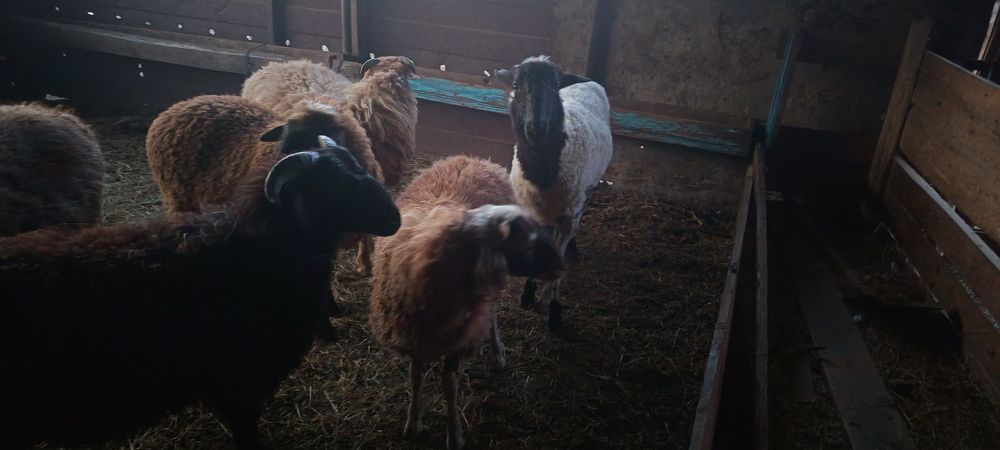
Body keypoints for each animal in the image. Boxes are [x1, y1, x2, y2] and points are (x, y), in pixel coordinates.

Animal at [369, 155, 563, 450]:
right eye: (527, 244)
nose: (561, 267)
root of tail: (470, 157)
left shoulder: (459, 337)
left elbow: (449, 385)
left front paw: (454, 433)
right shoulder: (414, 335)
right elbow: (415, 378)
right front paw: (414, 421)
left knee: (491, 317)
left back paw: (497, 352)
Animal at [493, 55, 614, 330]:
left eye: (554, 86)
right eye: (515, 86)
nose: (536, 128)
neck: (543, 174)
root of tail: (585, 80)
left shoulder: (569, 217)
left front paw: (554, 311)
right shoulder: (531, 210)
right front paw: (528, 294)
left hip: (584, 194)